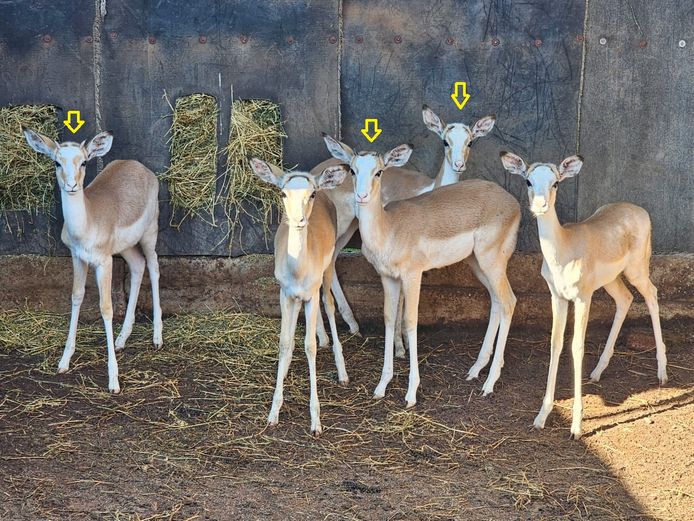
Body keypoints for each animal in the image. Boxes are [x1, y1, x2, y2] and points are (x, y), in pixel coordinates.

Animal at [23, 128, 163, 394]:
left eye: (84, 162)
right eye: (57, 162)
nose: (71, 186)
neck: (87, 223)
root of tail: (139, 166)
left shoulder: (104, 262)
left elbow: (106, 308)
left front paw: (113, 380)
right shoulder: (78, 258)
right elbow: (76, 297)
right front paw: (64, 361)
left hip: (149, 234)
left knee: (153, 266)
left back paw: (157, 337)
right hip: (127, 247)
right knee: (138, 266)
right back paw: (121, 339)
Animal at [249, 158, 349, 436]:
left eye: (311, 194)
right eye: (283, 193)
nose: (299, 220)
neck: (298, 271)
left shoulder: (311, 293)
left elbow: (310, 346)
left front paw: (316, 422)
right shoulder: (285, 293)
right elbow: (285, 342)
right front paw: (272, 413)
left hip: (328, 270)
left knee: (330, 304)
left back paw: (342, 373)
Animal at [315, 106, 496, 357]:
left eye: (470, 142)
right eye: (445, 141)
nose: (459, 164)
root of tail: (315, 174)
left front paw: (404, 344)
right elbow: (400, 300)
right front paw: (400, 347)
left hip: (348, 228)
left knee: (330, 261)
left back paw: (353, 326)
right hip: (339, 224)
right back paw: (323, 338)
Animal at [323, 137, 520, 406]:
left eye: (379, 171)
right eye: (353, 170)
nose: (361, 196)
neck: (389, 228)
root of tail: (514, 203)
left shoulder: (412, 275)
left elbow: (410, 320)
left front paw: (411, 393)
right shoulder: (388, 278)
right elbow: (388, 318)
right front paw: (382, 385)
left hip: (491, 262)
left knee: (509, 301)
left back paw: (489, 383)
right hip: (478, 264)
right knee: (497, 302)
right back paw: (475, 370)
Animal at [500, 152, 668, 439]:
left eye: (556, 182)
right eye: (528, 180)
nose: (541, 206)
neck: (564, 247)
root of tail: (639, 210)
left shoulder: (582, 298)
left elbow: (576, 347)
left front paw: (576, 425)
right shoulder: (557, 297)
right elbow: (555, 344)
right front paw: (542, 415)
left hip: (636, 271)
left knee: (652, 295)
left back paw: (661, 372)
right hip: (612, 281)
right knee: (625, 300)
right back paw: (598, 371)